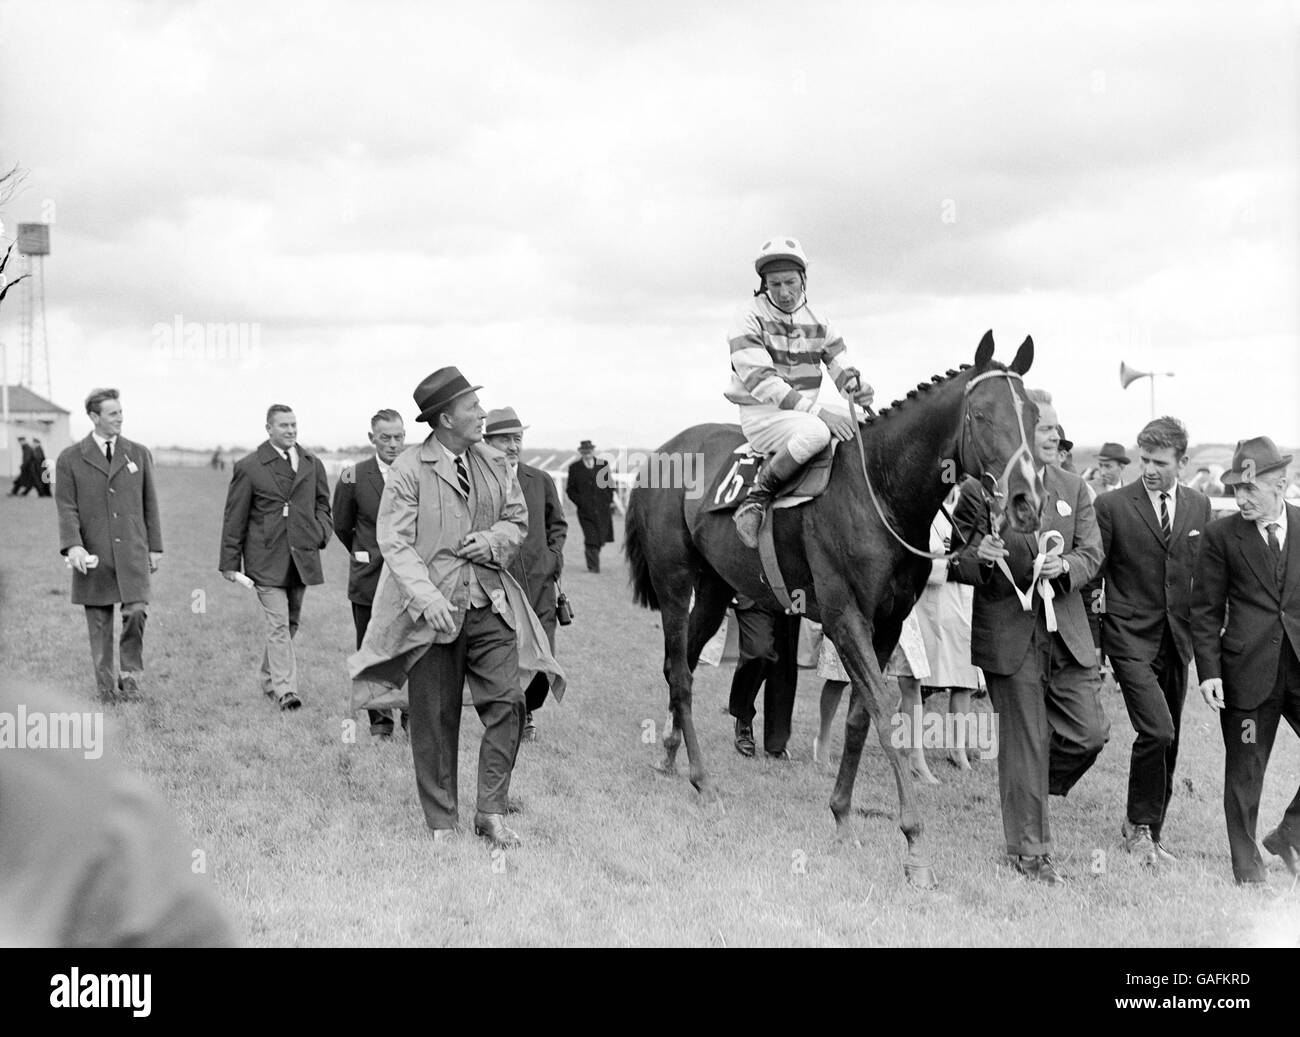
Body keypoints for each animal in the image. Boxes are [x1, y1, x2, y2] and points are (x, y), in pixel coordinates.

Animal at [624, 331, 1040, 883]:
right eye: (982, 415)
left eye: (1032, 414)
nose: (1026, 502)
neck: (878, 491)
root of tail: (660, 454)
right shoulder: (846, 620)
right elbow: (885, 713)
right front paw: (914, 845)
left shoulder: (887, 625)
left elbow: (860, 719)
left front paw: (842, 816)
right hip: (673, 583)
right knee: (681, 672)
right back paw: (704, 781)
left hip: (713, 590)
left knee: (681, 664)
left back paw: (673, 756)